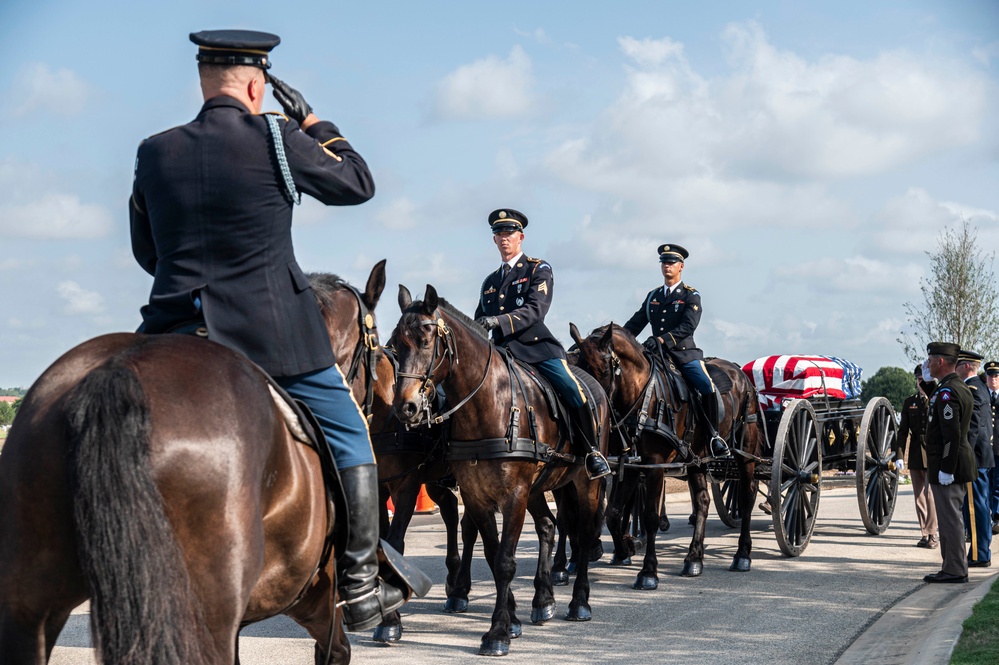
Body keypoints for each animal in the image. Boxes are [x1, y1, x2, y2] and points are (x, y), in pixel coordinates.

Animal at [390, 282, 608, 656]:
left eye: (425, 340)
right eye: (394, 343)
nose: (406, 407)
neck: (489, 403)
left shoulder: (514, 495)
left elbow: (505, 560)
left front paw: (498, 632)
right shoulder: (477, 495)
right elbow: (493, 555)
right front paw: (510, 620)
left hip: (585, 483)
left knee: (582, 531)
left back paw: (579, 602)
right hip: (538, 488)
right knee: (548, 526)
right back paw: (542, 600)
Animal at [576, 324, 760, 588]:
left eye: (602, 370)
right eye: (578, 368)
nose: (591, 411)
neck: (644, 397)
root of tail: (741, 374)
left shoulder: (655, 465)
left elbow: (651, 517)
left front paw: (648, 572)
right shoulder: (631, 466)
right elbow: (613, 513)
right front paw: (624, 549)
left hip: (745, 453)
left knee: (746, 497)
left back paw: (742, 555)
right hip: (697, 459)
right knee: (702, 502)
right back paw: (694, 558)